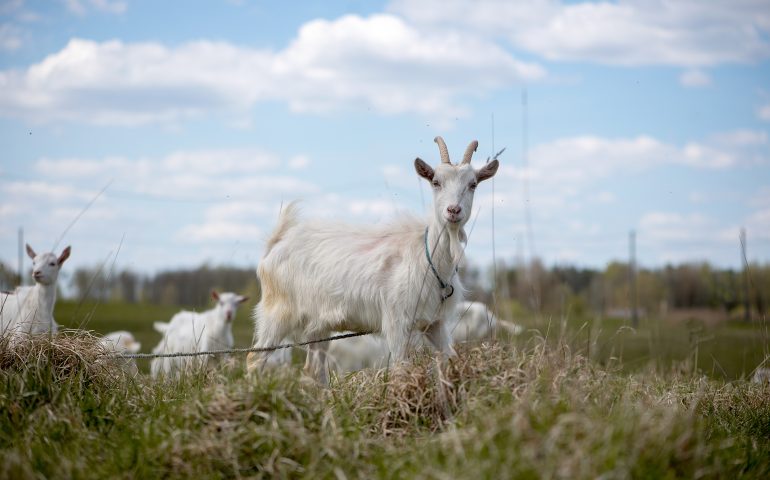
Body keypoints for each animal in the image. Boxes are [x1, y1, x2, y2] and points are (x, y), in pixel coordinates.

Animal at [246, 137, 498, 384]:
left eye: (473, 184)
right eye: (436, 182)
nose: (453, 210)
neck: (429, 257)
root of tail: (276, 243)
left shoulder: (435, 323)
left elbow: (449, 358)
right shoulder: (397, 323)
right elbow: (401, 368)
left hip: (318, 323)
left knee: (314, 369)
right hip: (278, 313)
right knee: (254, 359)